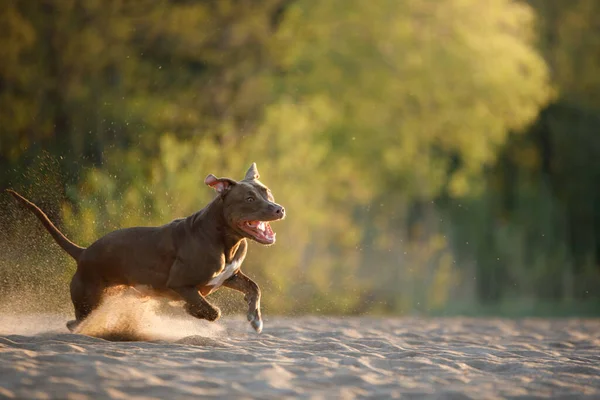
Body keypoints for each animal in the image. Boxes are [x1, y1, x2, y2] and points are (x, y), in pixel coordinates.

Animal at [6, 163, 284, 334]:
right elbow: (208, 308)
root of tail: (83, 252)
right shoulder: (180, 284)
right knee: (75, 322)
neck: (224, 239)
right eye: (249, 199)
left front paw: (255, 319)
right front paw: (196, 312)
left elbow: (254, 288)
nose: (279, 208)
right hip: (89, 300)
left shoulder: (230, 275)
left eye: (267, 193)